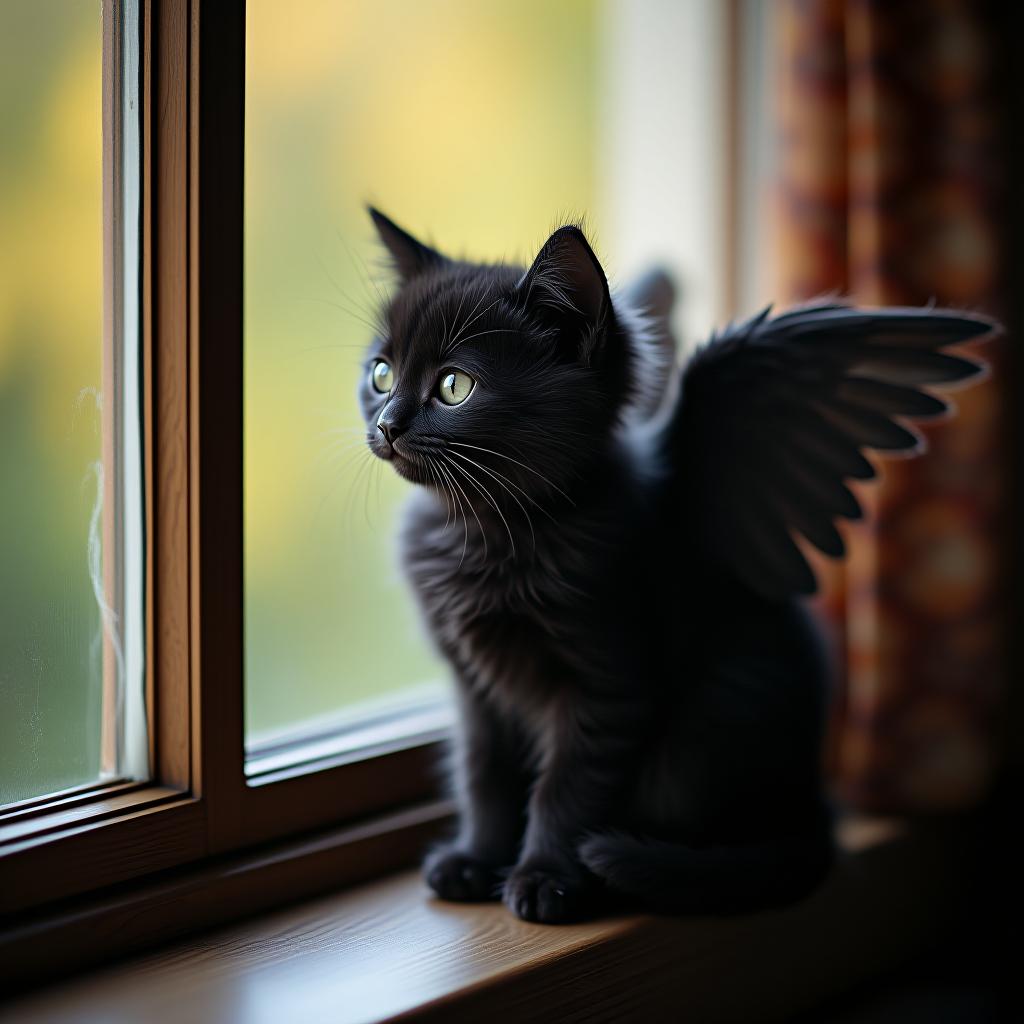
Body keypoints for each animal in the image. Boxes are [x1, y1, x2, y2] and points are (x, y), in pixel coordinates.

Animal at [358, 203, 991, 925]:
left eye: (455, 387)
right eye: (380, 373)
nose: (386, 424)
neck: (486, 529)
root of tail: (811, 804)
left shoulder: (606, 685)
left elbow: (565, 789)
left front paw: (545, 877)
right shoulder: (474, 688)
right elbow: (485, 775)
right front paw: (476, 858)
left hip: (698, 742)